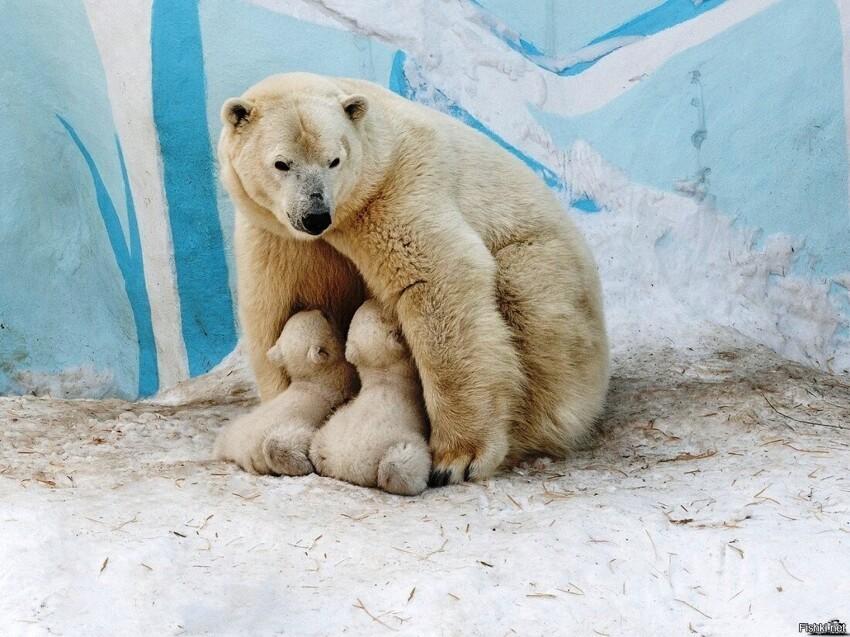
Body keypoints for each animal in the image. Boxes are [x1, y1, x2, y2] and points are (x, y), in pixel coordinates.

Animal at [215, 310, 358, 474]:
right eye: (325, 317)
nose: (322, 310)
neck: (314, 377)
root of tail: (243, 456)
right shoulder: (339, 380)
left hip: (235, 430)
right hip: (289, 428)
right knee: (280, 443)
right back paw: (303, 464)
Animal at [308, 300, 430, 496]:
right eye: (384, 315)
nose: (369, 299)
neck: (384, 378)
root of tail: (349, 466)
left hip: (326, 435)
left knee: (316, 447)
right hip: (397, 442)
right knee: (397, 465)